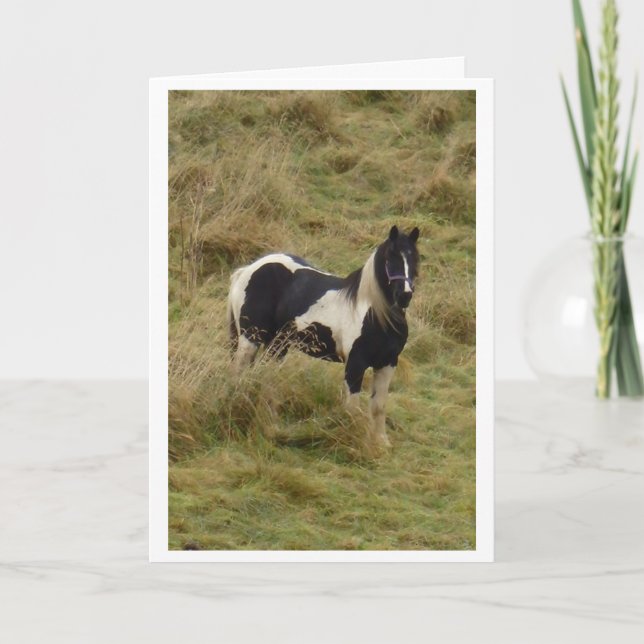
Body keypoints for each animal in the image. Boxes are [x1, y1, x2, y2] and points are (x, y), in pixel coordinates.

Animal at [227, 225, 420, 447]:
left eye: (414, 259)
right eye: (390, 258)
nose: (404, 295)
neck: (376, 314)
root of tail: (248, 269)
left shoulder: (387, 363)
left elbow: (379, 406)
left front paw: (381, 443)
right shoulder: (355, 364)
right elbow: (352, 408)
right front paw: (353, 441)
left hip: (277, 345)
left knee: (267, 378)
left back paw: (271, 422)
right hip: (250, 339)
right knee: (239, 373)